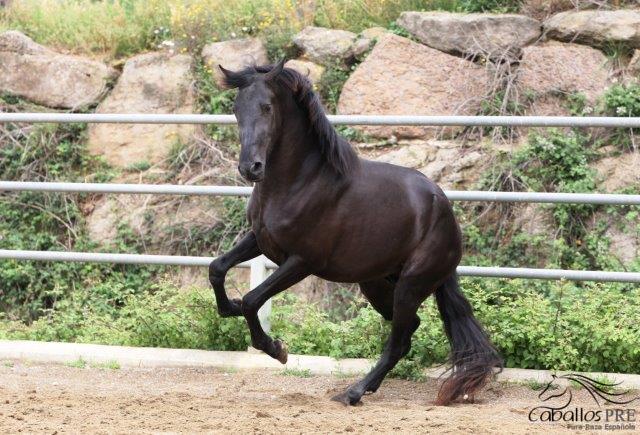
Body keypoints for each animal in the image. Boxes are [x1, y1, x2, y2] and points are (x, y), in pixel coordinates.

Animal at [209, 59, 500, 408]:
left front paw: (277, 349)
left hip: (411, 286)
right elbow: (217, 268)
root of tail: (444, 210)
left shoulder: (302, 261)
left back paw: (353, 392)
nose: (249, 168)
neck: (300, 181)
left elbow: (253, 300)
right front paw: (228, 308)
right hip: (376, 284)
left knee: (398, 342)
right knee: (408, 332)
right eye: (236, 108)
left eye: (267, 106)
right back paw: (366, 388)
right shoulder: (262, 241)